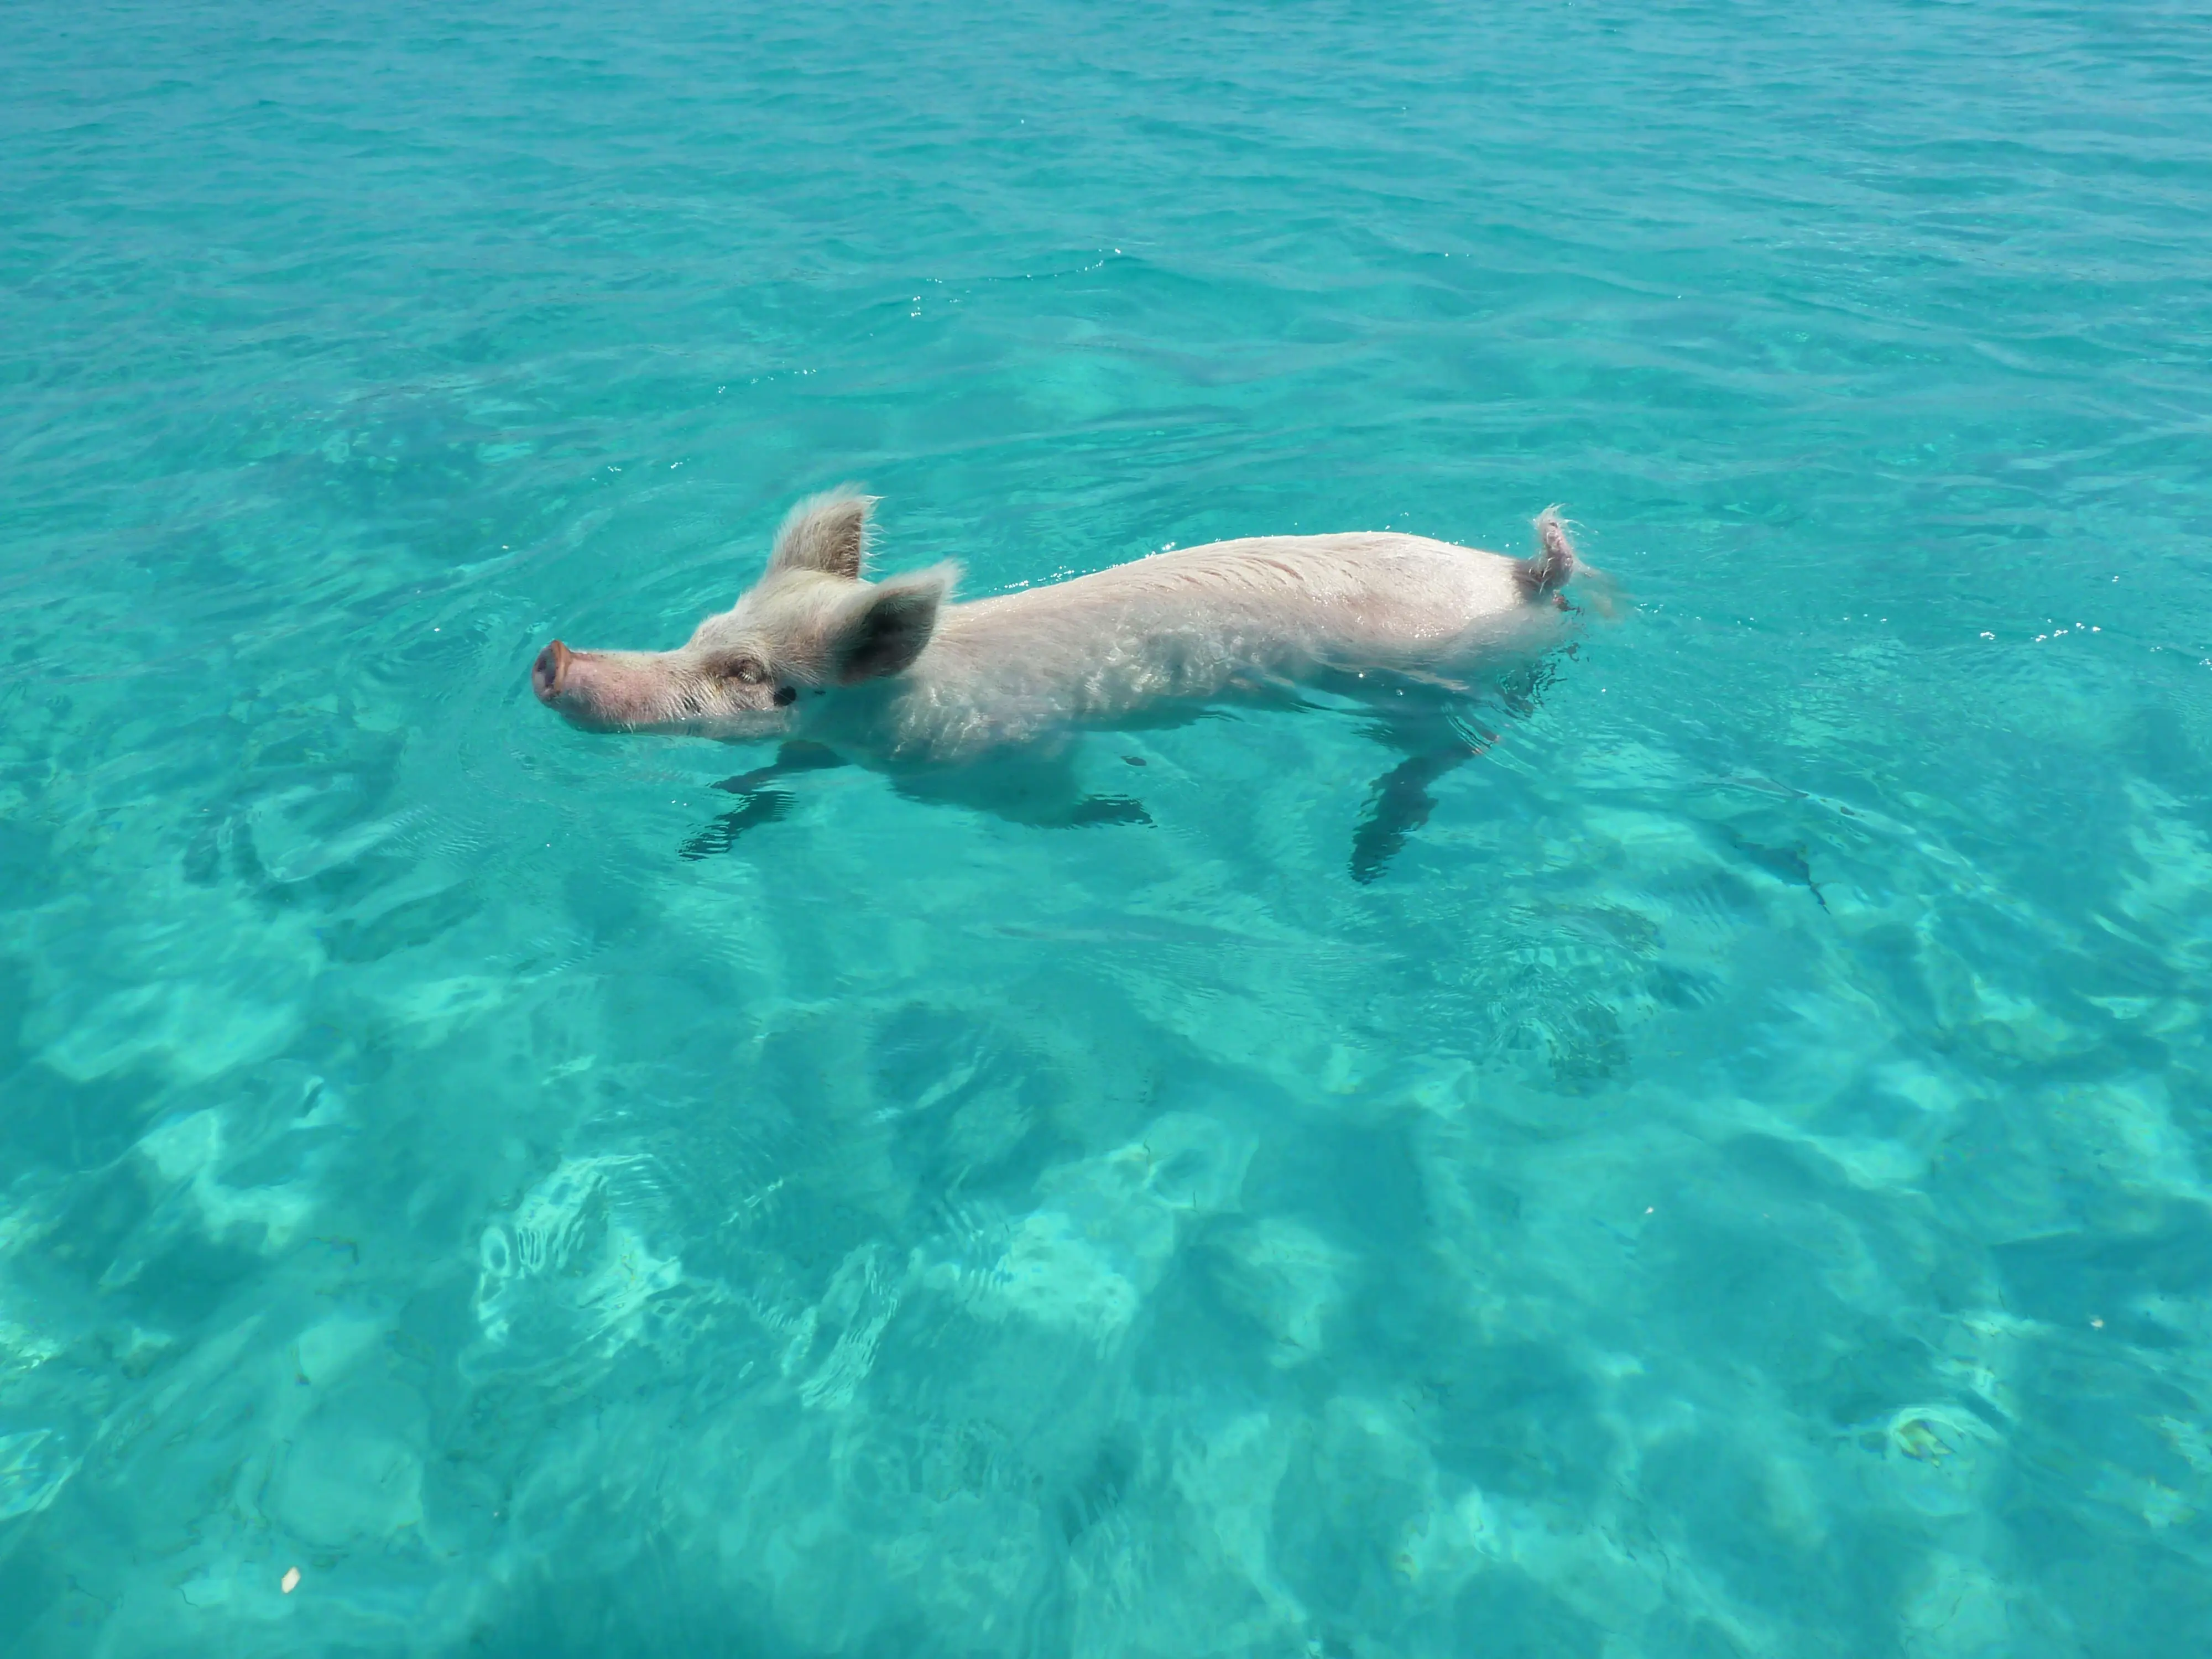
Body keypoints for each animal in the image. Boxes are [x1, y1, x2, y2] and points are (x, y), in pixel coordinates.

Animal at [535, 493, 1593, 885]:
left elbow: (1054, 805)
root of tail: (1520, 574)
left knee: (1451, 749)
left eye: (751, 677)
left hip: (1419, 689)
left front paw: (1128, 814)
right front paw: (711, 831)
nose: (552, 658)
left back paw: (1369, 856)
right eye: (701, 632)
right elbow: (775, 786)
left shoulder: (1003, 758)